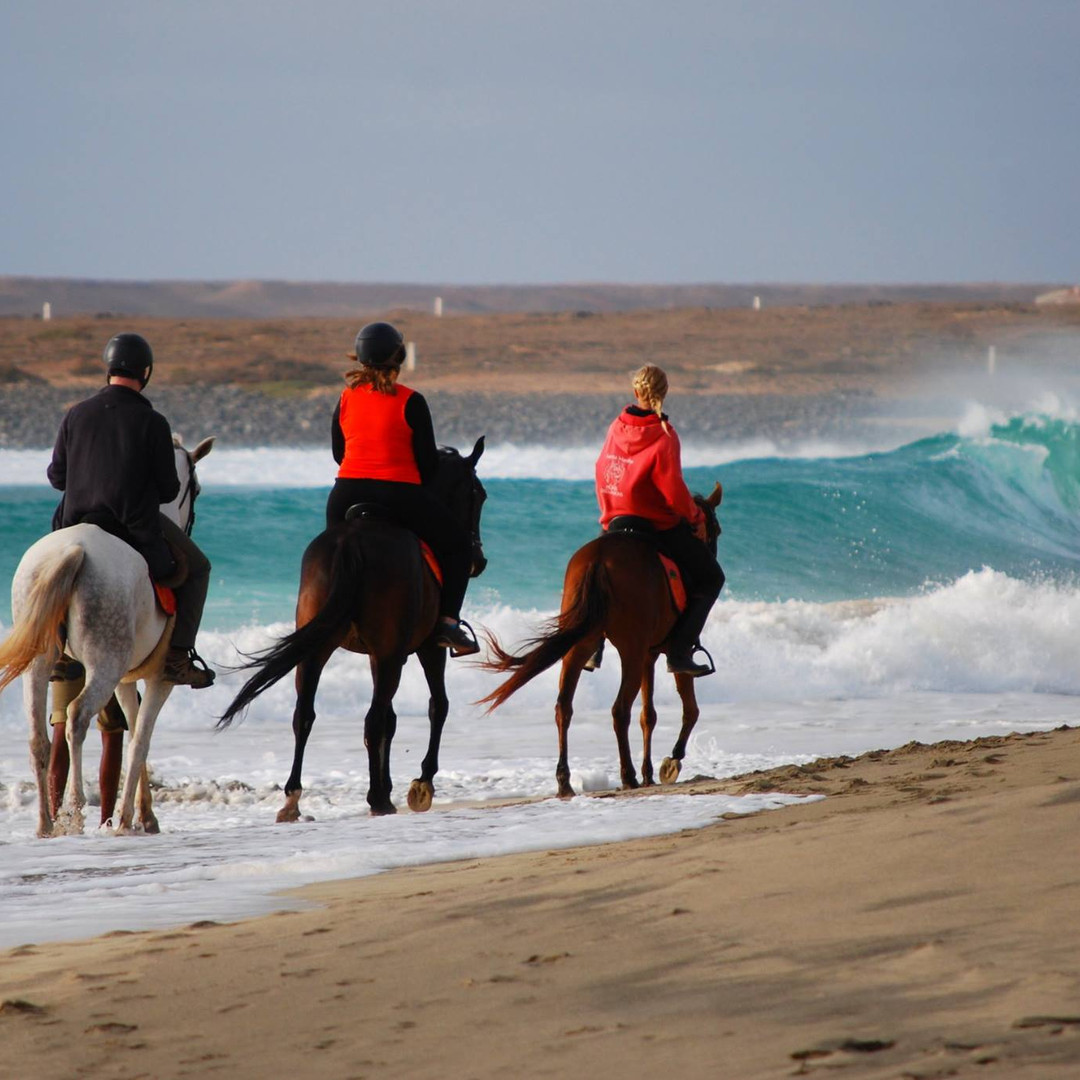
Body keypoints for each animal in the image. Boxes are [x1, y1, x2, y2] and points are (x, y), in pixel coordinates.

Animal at [0, 436, 215, 836]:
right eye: (195, 489)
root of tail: (74, 550)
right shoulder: (158, 679)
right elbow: (140, 739)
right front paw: (129, 818)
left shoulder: (127, 679)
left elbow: (132, 729)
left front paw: (143, 814)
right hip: (105, 664)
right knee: (77, 718)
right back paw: (73, 808)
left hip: (42, 663)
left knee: (39, 736)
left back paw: (45, 824)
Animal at [217, 438, 488, 819]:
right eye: (478, 494)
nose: (479, 560)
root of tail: (351, 541)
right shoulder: (421, 650)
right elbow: (437, 706)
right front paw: (421, 783)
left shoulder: (380, 654)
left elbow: (391, 718)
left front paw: (390, 785)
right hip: (388, 653)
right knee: (372, 719)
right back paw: (376, 799)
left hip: (317, 649)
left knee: (305, 714)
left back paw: (293, 799)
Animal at [481, 484, 722, 799]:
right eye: (716, 529)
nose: (713, 552)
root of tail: (599, 558)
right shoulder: (670, 652)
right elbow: (689, 709)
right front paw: (671, 761)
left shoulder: (649, 655)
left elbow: (649, 715)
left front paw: (650, 772)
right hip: (630, 650)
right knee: (620, 709)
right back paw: (627, 775)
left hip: (581, 647)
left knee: (564, 708)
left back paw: (565, 781)